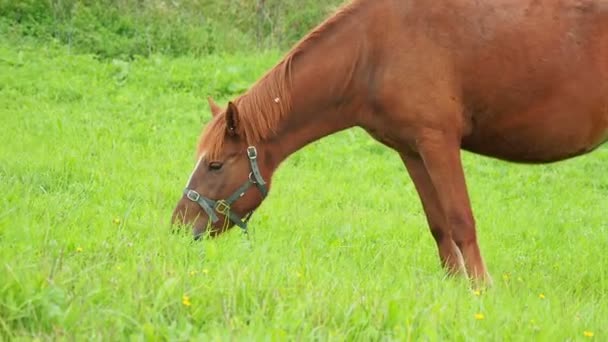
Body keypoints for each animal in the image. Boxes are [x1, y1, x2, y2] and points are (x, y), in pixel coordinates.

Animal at [171, 0, 608, 284]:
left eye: (215, 164)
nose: (178, 226)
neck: (372, 50)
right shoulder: (412, 150)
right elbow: (439, 224)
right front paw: (455, 287)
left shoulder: (438, 142)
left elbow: (461, 221)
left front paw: (481, 290)